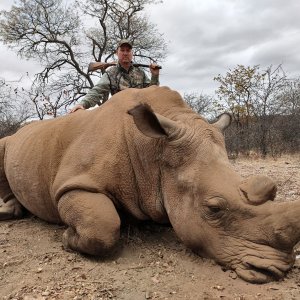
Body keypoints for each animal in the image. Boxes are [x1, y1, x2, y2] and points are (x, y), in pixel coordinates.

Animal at [0, 85, 300, 282]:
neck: (154, 150)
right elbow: (103, 225)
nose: (277, 270)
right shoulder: (75, 183)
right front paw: (66, 239)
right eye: (213, 209)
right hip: (12, 140)